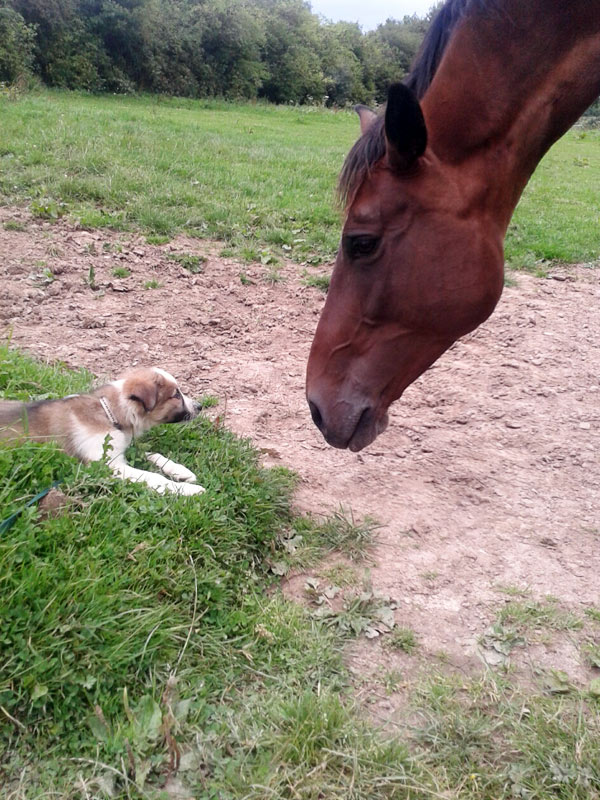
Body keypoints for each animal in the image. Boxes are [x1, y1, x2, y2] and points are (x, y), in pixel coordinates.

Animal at [0, 368, 205, 494]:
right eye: (176, 395)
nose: (200, 406)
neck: (110, 413)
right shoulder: (108, 466)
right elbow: (152, 476)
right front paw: (188, 490)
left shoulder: (120, 449)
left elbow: (152, 453)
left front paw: (180, 470)